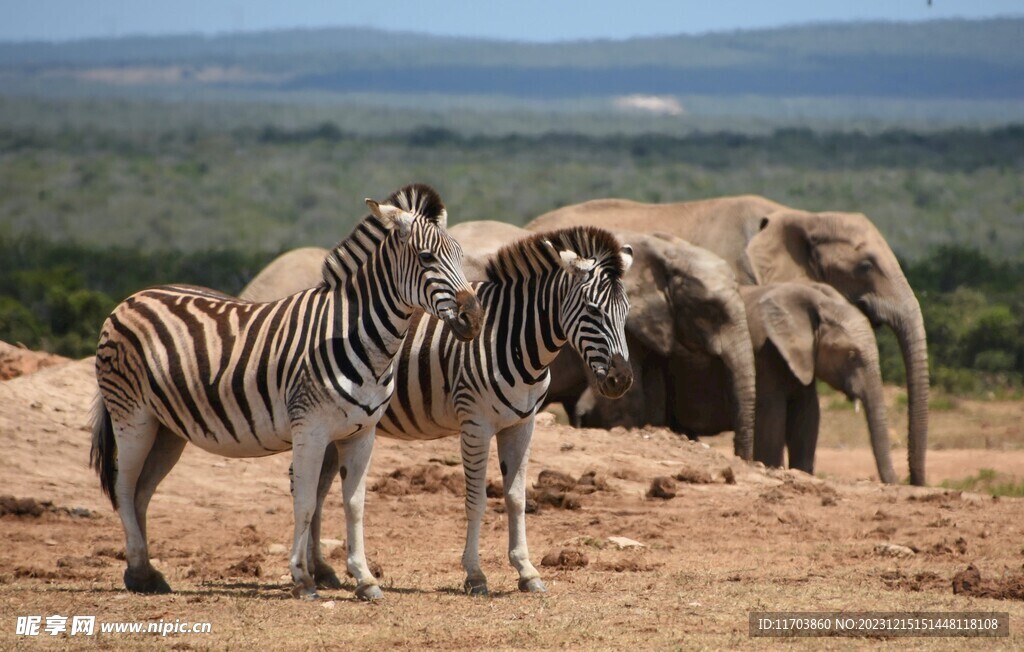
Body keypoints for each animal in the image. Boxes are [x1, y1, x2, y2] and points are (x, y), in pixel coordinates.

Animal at [92, 183, 483, 601]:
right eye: (426, 257)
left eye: (461, 255)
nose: (474, 319)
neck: (357, 334)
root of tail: (130, 299)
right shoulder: (309, 429)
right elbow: (306, 502)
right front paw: (303, 578)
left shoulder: (362, 433)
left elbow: (355, 505)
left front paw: (364, 579)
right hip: (132, 416)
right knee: (123, 487)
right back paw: (137, 572)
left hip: (167, 428)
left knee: (141, 491)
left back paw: (147, 575)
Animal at [307, 227, 634, 593]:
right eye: (593, 310)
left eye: (626, 311)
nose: (622, 380)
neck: (512, 337)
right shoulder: (475, 424)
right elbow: (477, 500)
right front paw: (475, 574)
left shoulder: (523, 424)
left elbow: (516, 498)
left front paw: (527, 570)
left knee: (316, 491)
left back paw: (321, 571)